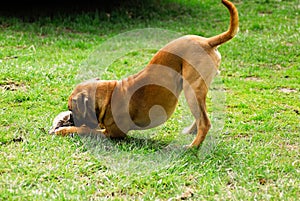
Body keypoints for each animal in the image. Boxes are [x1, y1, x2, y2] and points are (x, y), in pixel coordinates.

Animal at [54, 0, 239, 148]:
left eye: (72, 108)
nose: (69, 117)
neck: (108, 95)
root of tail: (207, 42)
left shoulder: (112, 134)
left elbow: (83, 129)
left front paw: (65, 129)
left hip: (191, 90)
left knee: (205, 122)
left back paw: (192, 147)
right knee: (201, 117)